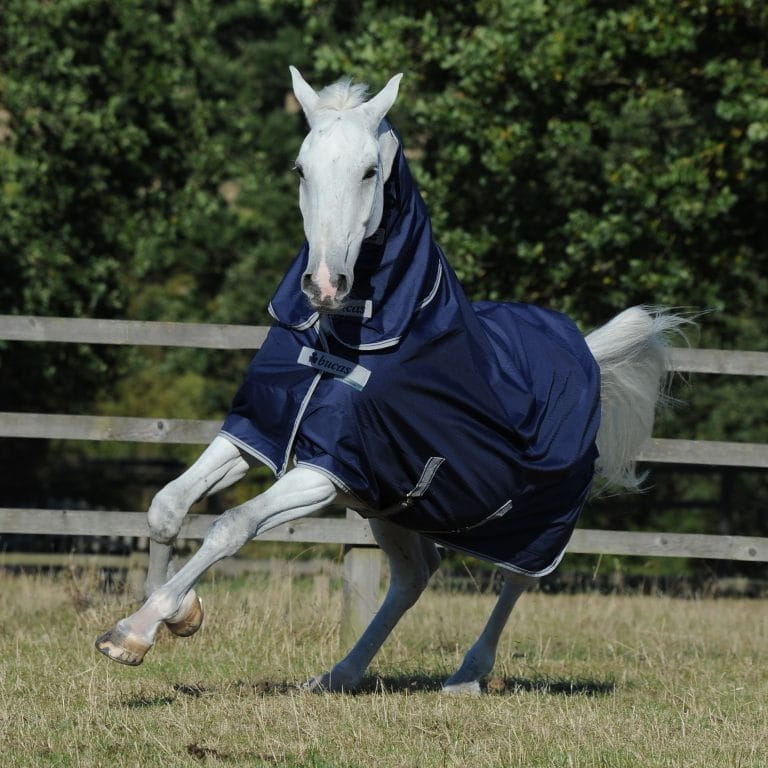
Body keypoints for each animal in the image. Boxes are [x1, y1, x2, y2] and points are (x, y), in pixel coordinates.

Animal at [96, 67, 687, 694]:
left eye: (369, 171)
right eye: (301, 168)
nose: (323, 284)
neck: (344, 341)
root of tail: (585, 353)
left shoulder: (325, 469)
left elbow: (232, 525)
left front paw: (136, 630)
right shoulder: (263, 431)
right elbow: (166, 505)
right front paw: (178, 615)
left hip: (537, 520)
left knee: (520, 579)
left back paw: (465, 676)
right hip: (390, 509)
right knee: (414, 576)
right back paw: (337, 675)